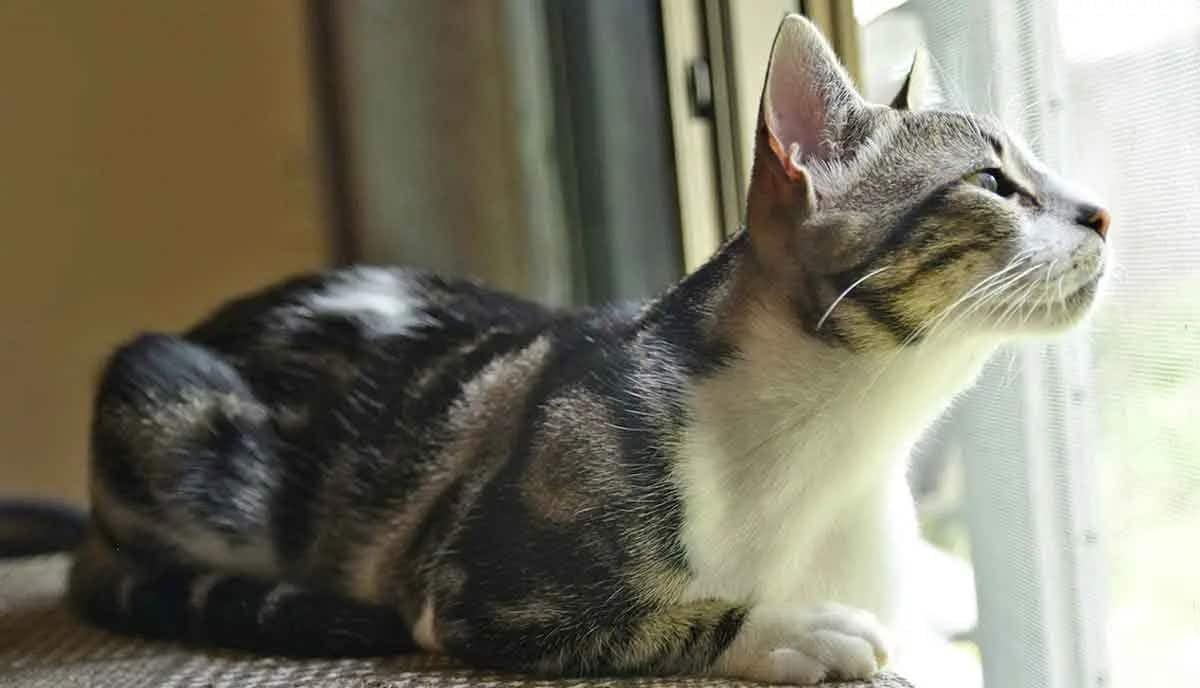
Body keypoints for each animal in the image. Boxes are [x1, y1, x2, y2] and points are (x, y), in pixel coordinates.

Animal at [70, 13, 1108, 681]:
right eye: (994, 182)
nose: (1102, 211)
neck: (844, 445)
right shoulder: (479, 584)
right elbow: (658, 619)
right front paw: (801, 631)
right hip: (166, 402)